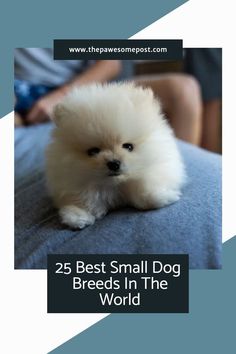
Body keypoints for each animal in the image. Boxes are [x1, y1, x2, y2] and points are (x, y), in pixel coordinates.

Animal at [45, 81, 186, 228]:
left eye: (128, 146)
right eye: (93, 151)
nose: (114, 163)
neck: (115, 185)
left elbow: (144, 190)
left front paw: (164, 196)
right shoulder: (71, 182)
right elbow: (81, 200)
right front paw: (78, 216)